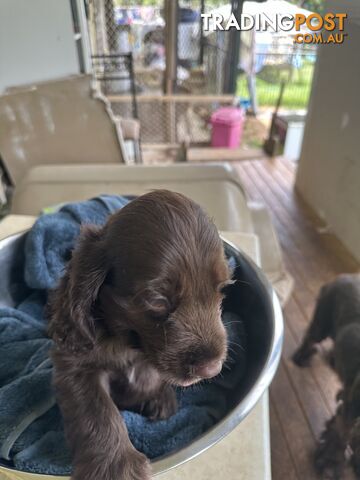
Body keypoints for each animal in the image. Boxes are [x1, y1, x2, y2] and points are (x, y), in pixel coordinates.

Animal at [47, 190, 231, 480]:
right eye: (157, 300)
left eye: (222, 288)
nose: (211, 368)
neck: (129, 343)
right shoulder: (75, 363)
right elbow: (97, 410)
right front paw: (114, 466)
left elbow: (149, 376)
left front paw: (153, 394)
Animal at [292, 272, 360, 478]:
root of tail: (344, 276)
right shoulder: (350, 411)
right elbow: (341, 434)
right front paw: (331, 462)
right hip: (322, 323)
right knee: (310, 337)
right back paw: (302, 357)